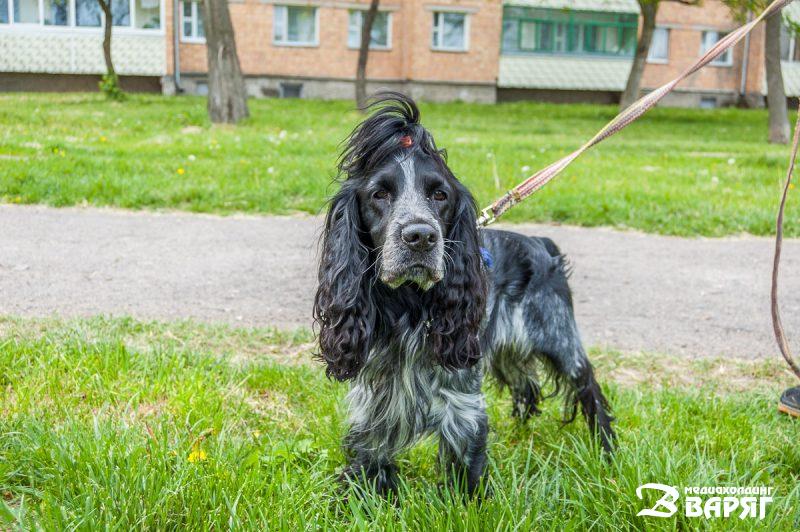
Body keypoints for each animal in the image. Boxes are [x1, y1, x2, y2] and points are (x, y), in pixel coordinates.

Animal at [312, 93, 612, 496]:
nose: (420, 236)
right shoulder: (373, 403)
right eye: (379, 194)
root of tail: (542, 244)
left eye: (440, 194)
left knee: (588, 387)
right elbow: (368, 462)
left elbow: (465, 468)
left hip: (557, 335)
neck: (409, 305)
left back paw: (607, 451)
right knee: (526, 384)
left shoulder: (462, 402)